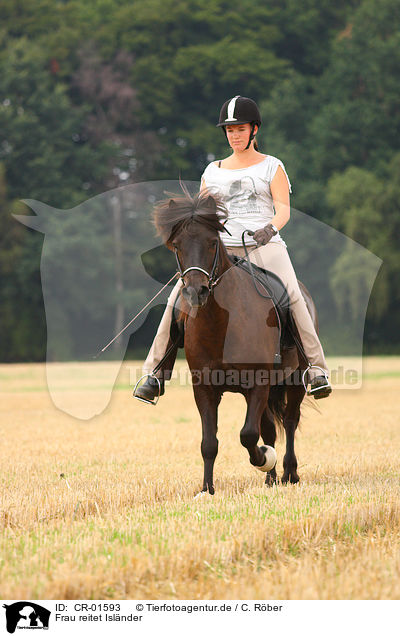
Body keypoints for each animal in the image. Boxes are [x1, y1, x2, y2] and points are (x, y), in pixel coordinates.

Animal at [153, 191, 312, 494]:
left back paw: (289, 472)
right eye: (177, 245)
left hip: (294, 379)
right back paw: (271, 478)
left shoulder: (258, 383)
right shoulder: (204, 387)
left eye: (212, 242)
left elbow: (248, 434)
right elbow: (209, 443)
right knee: (270, 427)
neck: (220, 324)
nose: (196, 291)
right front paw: (207, 489)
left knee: (289, 421)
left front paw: (264, 458)